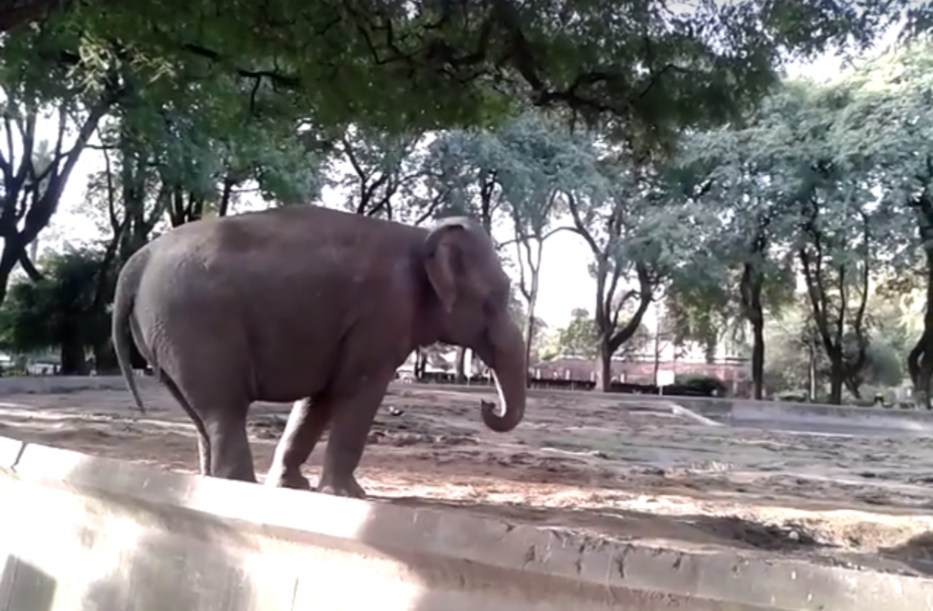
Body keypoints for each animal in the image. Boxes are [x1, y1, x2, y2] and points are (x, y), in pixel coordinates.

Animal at [111, 205, 527, 498]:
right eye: (497, 297)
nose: (486, 404)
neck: (420, 235)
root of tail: (137, 262)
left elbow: (319, 400)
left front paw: (295, 487)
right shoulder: (381, 315)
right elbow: (358, 390)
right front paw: (349, 495)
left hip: (168, 335)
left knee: (199, 412)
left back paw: (214, 480)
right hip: (196, 325)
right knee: (223, 408)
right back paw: (238, 485)